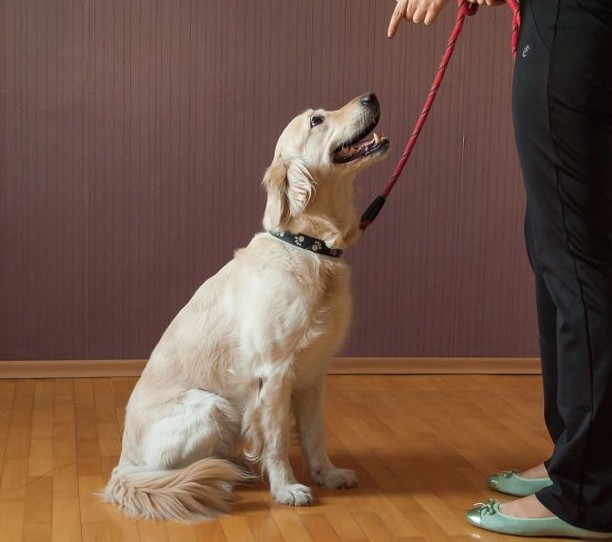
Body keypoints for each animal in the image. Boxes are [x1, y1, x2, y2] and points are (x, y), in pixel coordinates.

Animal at [100, 92, 388, 524]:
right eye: (317, 121)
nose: (371, 97)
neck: (309, 246)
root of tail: (123, 462)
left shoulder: (313, 374)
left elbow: (314, 434)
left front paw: (328, 474)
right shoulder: (274, 373)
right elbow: (277, 440)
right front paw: (287, 489)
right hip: (212, 407)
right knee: (171, 472)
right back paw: (220, 475)